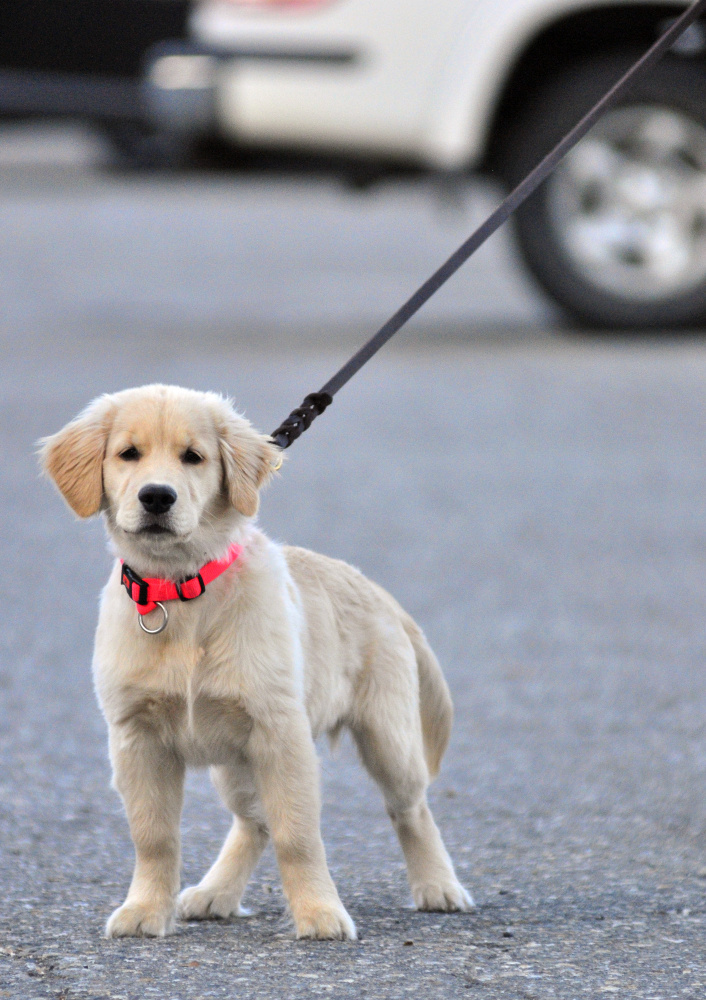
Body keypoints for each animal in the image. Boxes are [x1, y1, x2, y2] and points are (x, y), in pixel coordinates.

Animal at [37, 382, 468, 936]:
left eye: (193, 457)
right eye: (128, 454)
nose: (157, 496)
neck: (182, 590)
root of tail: (377, 591)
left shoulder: (281, 733)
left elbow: (297, 835)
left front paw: (319, 913)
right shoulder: (136, 737)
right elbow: (154, 837)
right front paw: (145, 910)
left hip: (387, 736)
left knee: (410, 809)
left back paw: (438, 886)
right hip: (235, 762)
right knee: (253, 821)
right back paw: (215, 892)